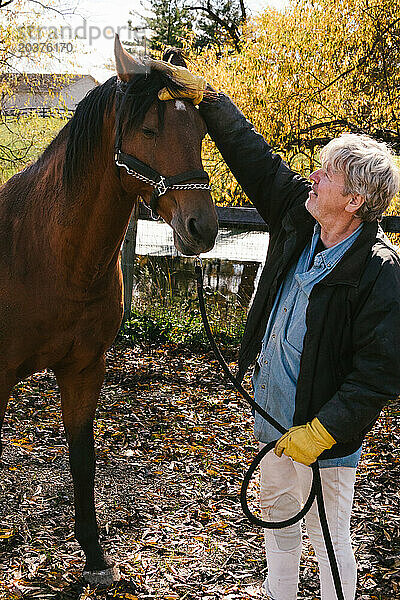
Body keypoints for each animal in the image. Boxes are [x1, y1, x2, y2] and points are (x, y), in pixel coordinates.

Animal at [0, 38, 217, 584]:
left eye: (201, 131)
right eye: (149, 129)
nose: (202, 227)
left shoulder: (85, 368)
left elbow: (82, 458)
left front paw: (94, 555)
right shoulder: (1, 374)